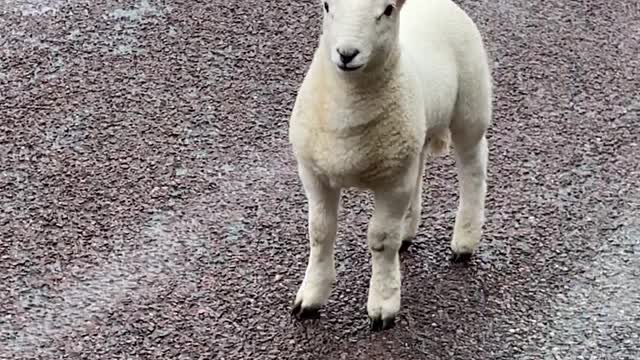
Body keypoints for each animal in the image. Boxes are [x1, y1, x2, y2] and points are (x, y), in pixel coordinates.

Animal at [288, 0, 492, 332]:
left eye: (386, 10)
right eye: (327, 6)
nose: (347, 54)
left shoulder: (392, 183)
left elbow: (381, 240)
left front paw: (382, 306)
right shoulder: (315, 174)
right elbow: (320, 231)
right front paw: (310, 297)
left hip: (471, 106)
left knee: (473, 169)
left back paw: (464, 241)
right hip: (411, 140)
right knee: (420, 168)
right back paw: (408, 231)